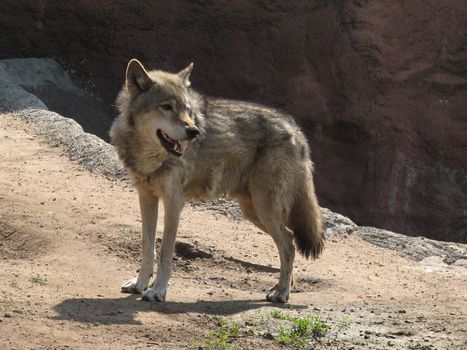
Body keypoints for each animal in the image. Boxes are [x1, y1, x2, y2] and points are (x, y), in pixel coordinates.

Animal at [110, 58, 324, 302]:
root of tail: (297, 131)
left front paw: (158, 291)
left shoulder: (174, 202)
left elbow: (165, 252)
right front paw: (140, 284)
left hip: (264, 210)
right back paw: (280, 288)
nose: (193, 131)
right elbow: (148, 246)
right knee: (289, 241)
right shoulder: (146, 197)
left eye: (187, 109)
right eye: (166, 107)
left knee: (289, 245)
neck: (150, 156)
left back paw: (281, 294)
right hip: (253, 211)